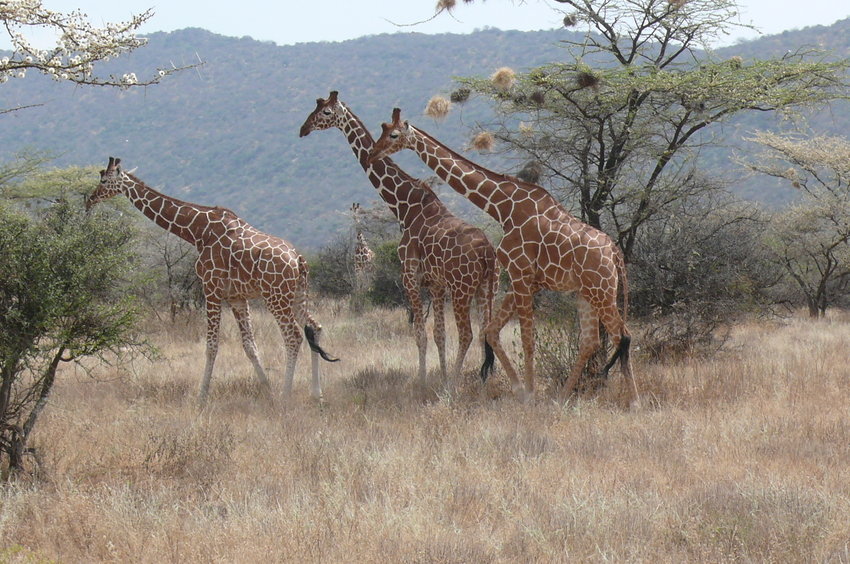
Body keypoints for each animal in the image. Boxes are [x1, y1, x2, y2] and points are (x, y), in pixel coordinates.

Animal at [85, 156, 338, 404]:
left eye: (104, 181)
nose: (90, 200)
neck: (197, 231)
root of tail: (299, 259)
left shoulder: (211, 288)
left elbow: (211, 346)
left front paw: (202, 396)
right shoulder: (237, 297)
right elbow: (250, 346)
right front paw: (268, 391)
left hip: (276, 296)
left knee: (293, 336)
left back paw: (287, 396)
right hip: (297, 294)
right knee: (314, 327)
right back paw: (317, 395)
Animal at [298, 90, 496, 386]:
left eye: (326, 112)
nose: (303, 129)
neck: (405, 207)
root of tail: (488, 253)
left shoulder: (410, 276)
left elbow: (420, 334)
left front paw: (425, 381)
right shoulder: (436, 284)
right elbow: (438, 334)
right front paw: (439, 375)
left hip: (463, 288)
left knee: (468, 333)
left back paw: (455, 382)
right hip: (487, 287)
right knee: (487, 332)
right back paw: (488, 379)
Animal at [368, 109, 632, 400]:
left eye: (393, 134)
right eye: (382, 129)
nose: (372, 153)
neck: (502, 207)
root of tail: (614, 252)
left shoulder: (520, 273)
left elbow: (526, 339)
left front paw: (529, 395)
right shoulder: (523, 279)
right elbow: (493, 331)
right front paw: (520, 389)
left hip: (602, 290)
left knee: (623, 335)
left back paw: (633, 401)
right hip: (585, 293)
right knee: (592, 340)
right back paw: (562, 397)